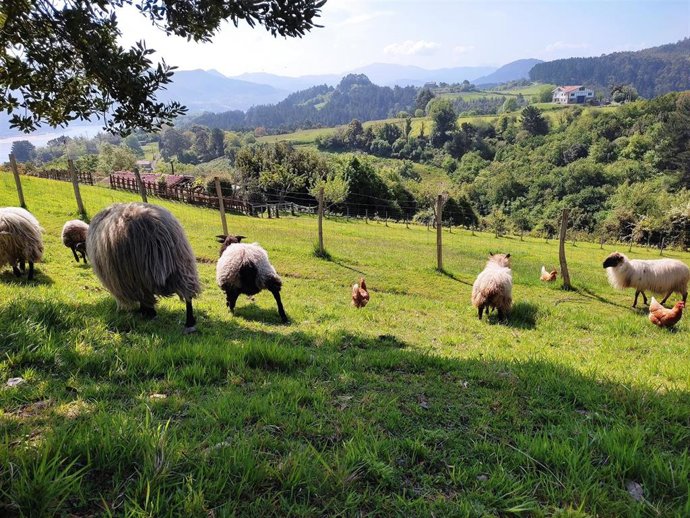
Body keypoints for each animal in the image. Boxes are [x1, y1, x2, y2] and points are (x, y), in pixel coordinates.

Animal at [86, 203, 201, 333]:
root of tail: (158, 230)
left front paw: (144, 312)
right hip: (182, 264)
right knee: (188, 294)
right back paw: (189, 323)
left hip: (140, 273)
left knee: (147, 295)